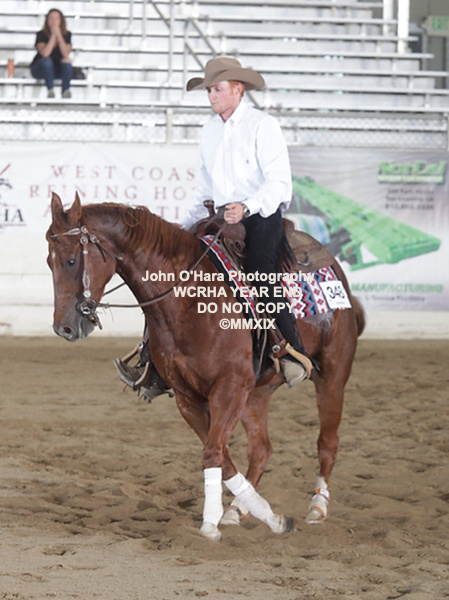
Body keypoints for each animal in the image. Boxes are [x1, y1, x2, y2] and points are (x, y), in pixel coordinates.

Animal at [46, 192, 365, 541]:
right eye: (49, 261)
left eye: (71, 261)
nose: (64, 327)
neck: (189, 301)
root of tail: (335, 267)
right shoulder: (189, 397)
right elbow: (222, 456)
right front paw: (269, 516)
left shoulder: (228, 389)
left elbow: (213, 452)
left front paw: (211, 522)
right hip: (256, 393)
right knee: (261, 449)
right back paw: (240, 510)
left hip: (332, 375)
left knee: (327, 443)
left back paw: (318, 506)